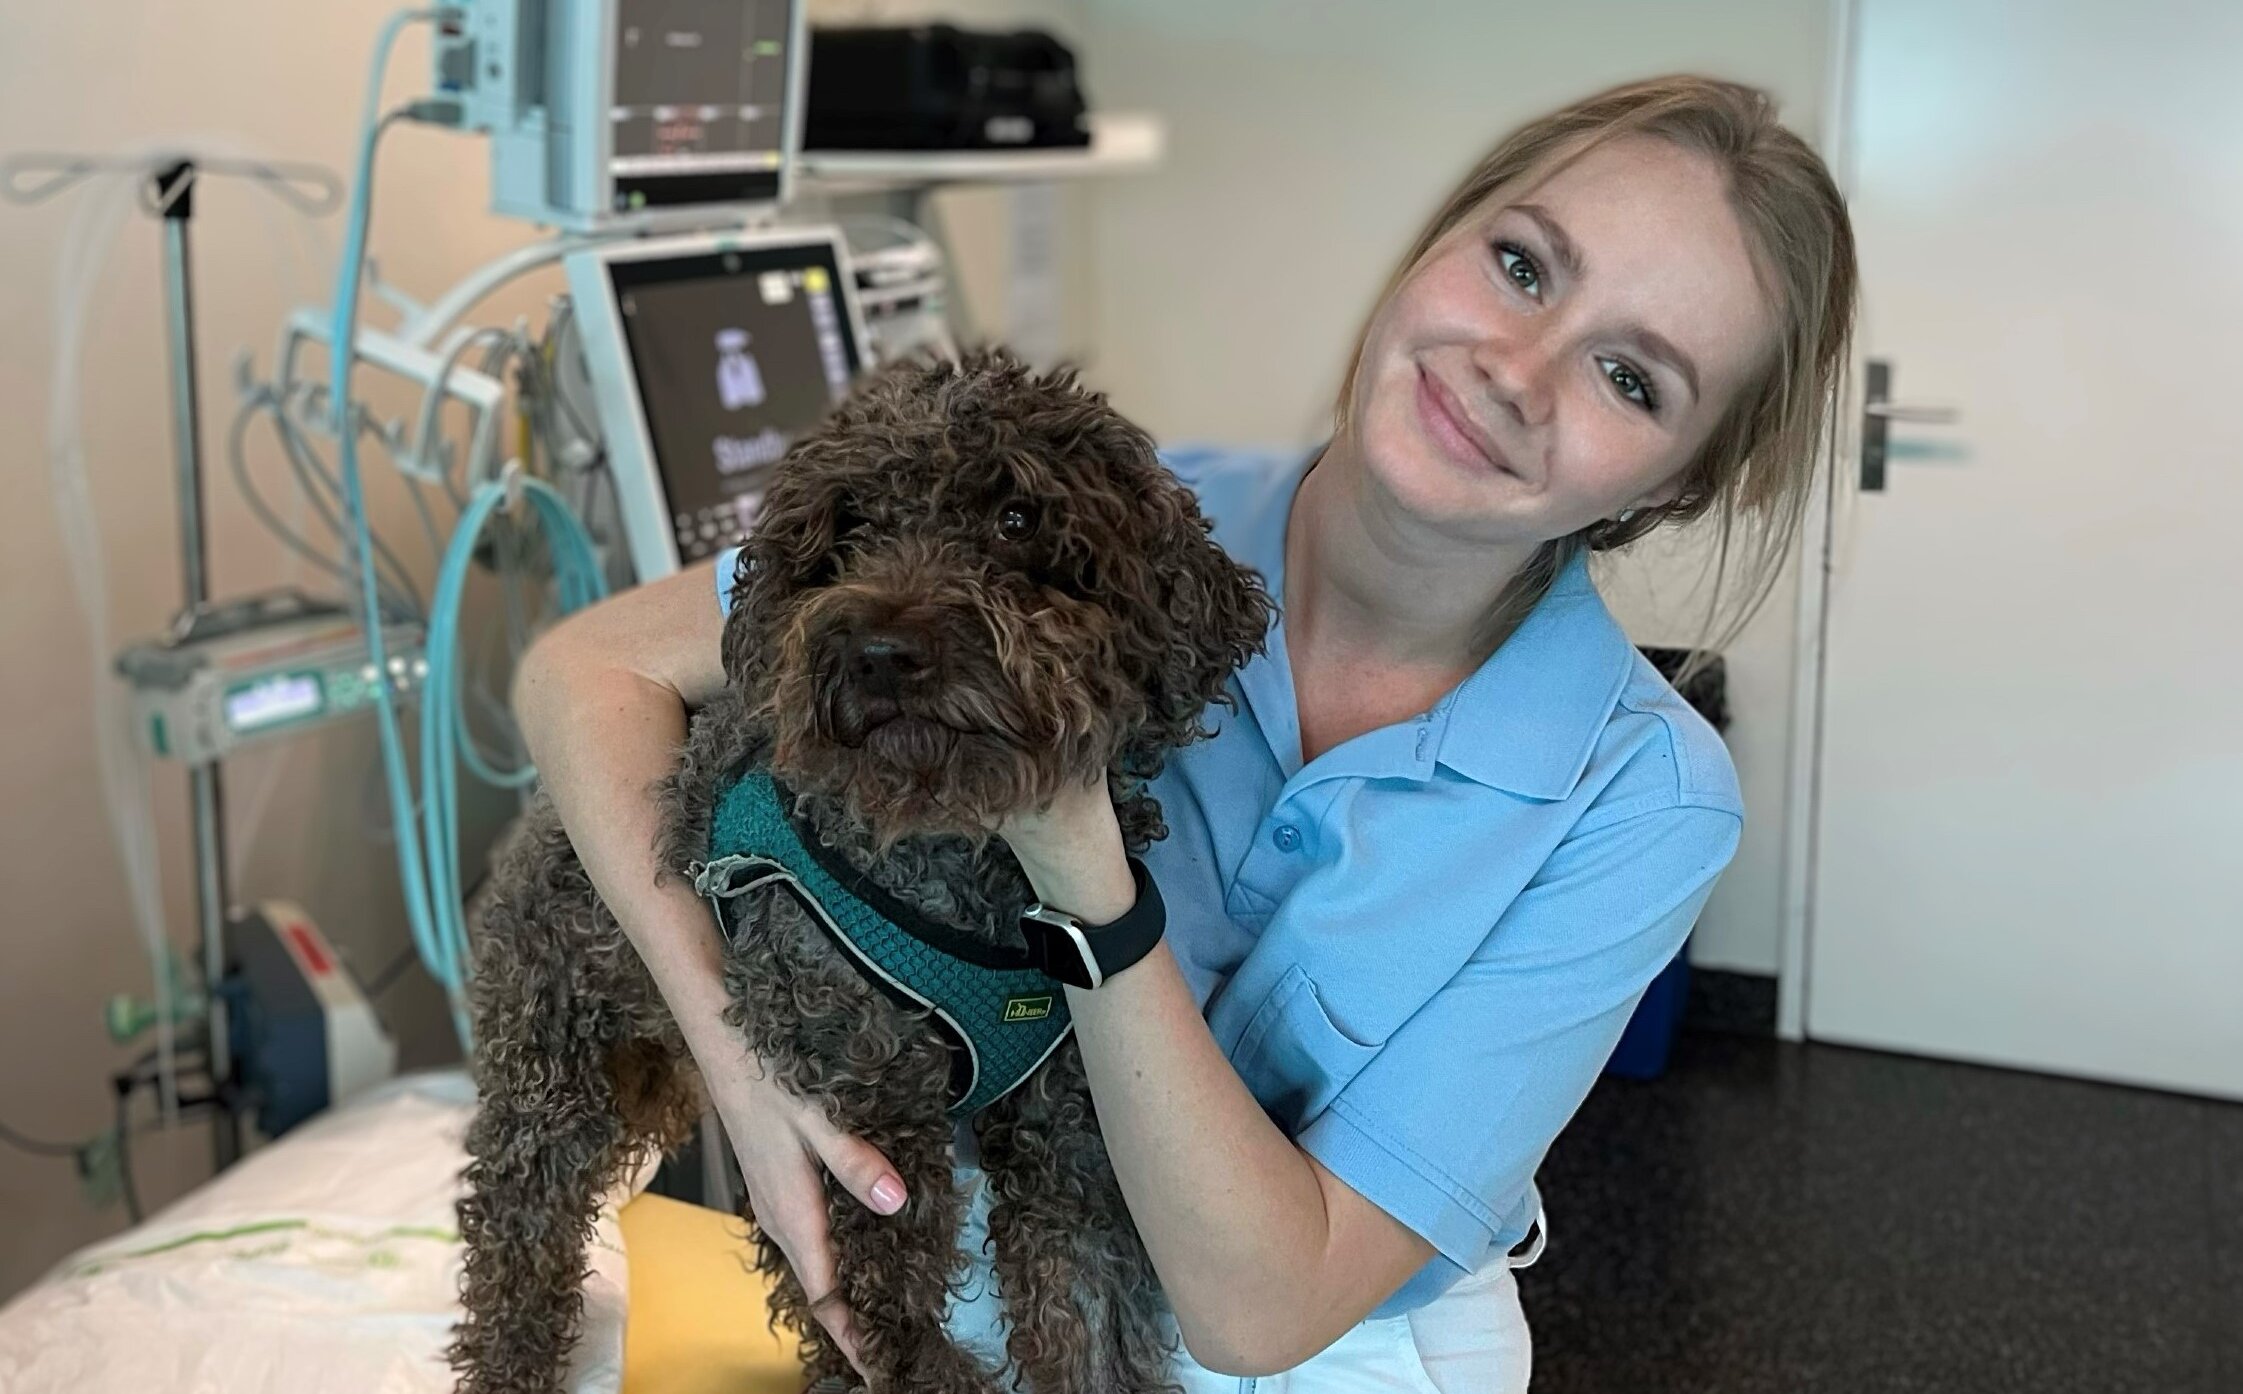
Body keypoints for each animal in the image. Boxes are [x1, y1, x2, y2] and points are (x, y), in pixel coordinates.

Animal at [446, 352, 1274, 1391]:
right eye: (846, 529)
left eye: (1014, 517)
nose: (881, 651)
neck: (963, 864)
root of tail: (532, 822)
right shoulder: (859, 1115)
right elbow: (891, 1322)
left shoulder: (1067, 1131)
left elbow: (1083, 1317)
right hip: (553, 1076)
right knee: (516, 1237)